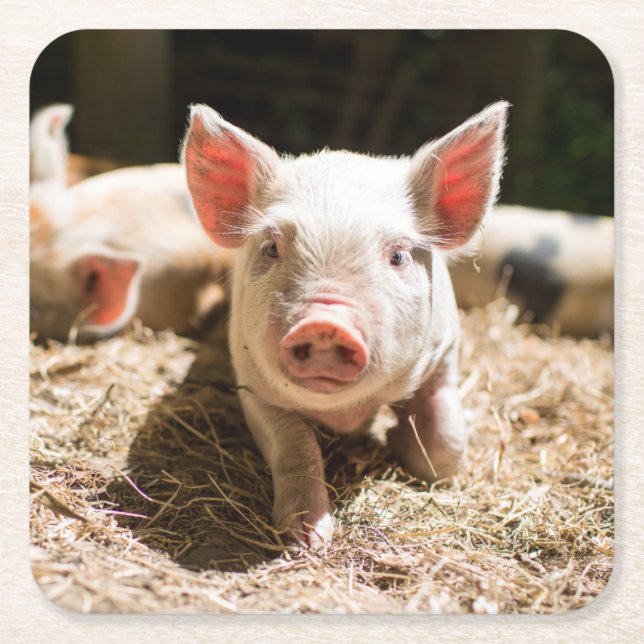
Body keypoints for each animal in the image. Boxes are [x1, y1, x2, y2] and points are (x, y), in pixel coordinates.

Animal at [181, 101, 509, 547]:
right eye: (271, 247)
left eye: (398, 256)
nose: (325, 324)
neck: (346, 414)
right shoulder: (251, 384)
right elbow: (296, 447)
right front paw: (306, 540)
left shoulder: (445, 356)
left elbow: (446, 447)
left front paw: (399, 441)